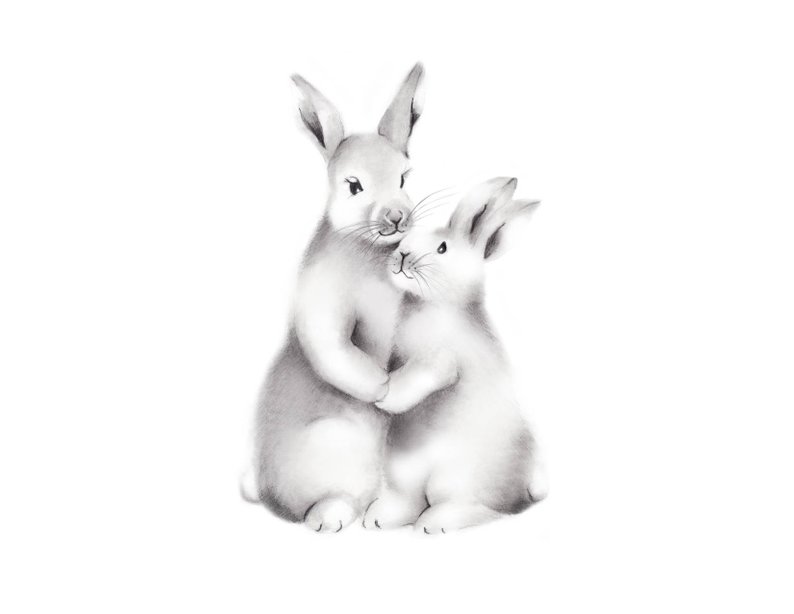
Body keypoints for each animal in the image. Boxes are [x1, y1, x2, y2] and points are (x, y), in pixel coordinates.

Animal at [245, 64, 425, 531]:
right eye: (354, 186)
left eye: (405, 177)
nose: (397, 215)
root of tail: (269, 495)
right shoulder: (322, 309)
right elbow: (341, 356)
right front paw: (389, 388)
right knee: (327, 503)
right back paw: (332, 517)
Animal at [362, 177, 548, 533]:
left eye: (442, 248)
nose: (402, 254)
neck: (435, 304)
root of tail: (522, 491)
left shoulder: (449, 358)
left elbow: (433, 370)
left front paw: (389, 397)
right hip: (402, 469)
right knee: (409, 499)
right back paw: (379, 518)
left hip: (457, 479)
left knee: (487, 511)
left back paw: (436, 523)